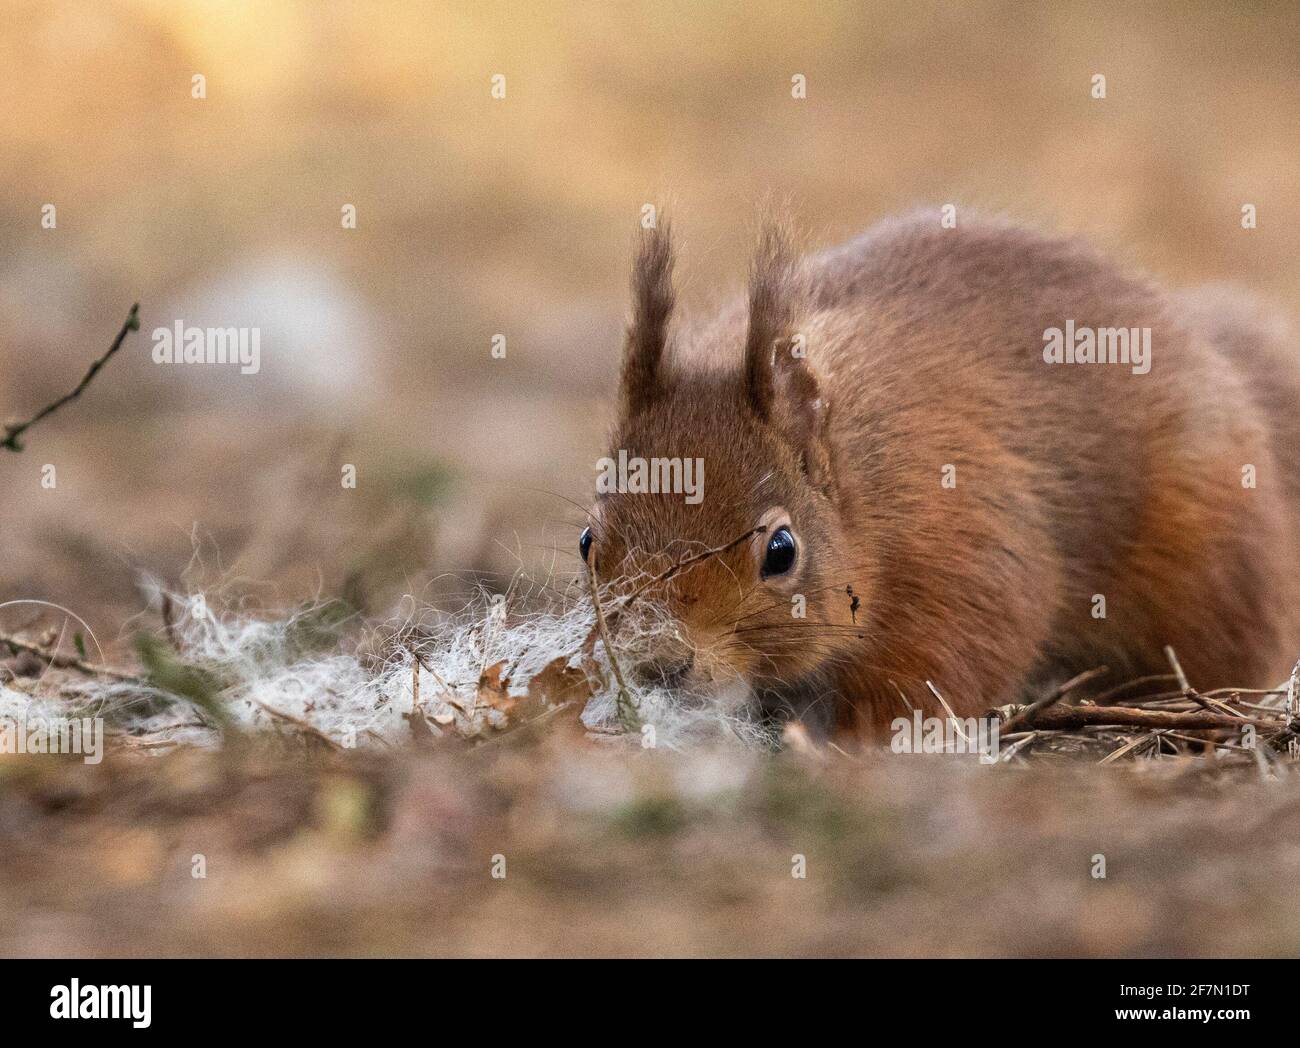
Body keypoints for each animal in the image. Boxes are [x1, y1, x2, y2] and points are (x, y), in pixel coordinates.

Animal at [582, 213, 1300, 738]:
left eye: (781, 551)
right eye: (588, 543)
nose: (655, 665)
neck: (862, 492)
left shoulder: (960, 554)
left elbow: (937, 676)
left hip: (1213, 580)